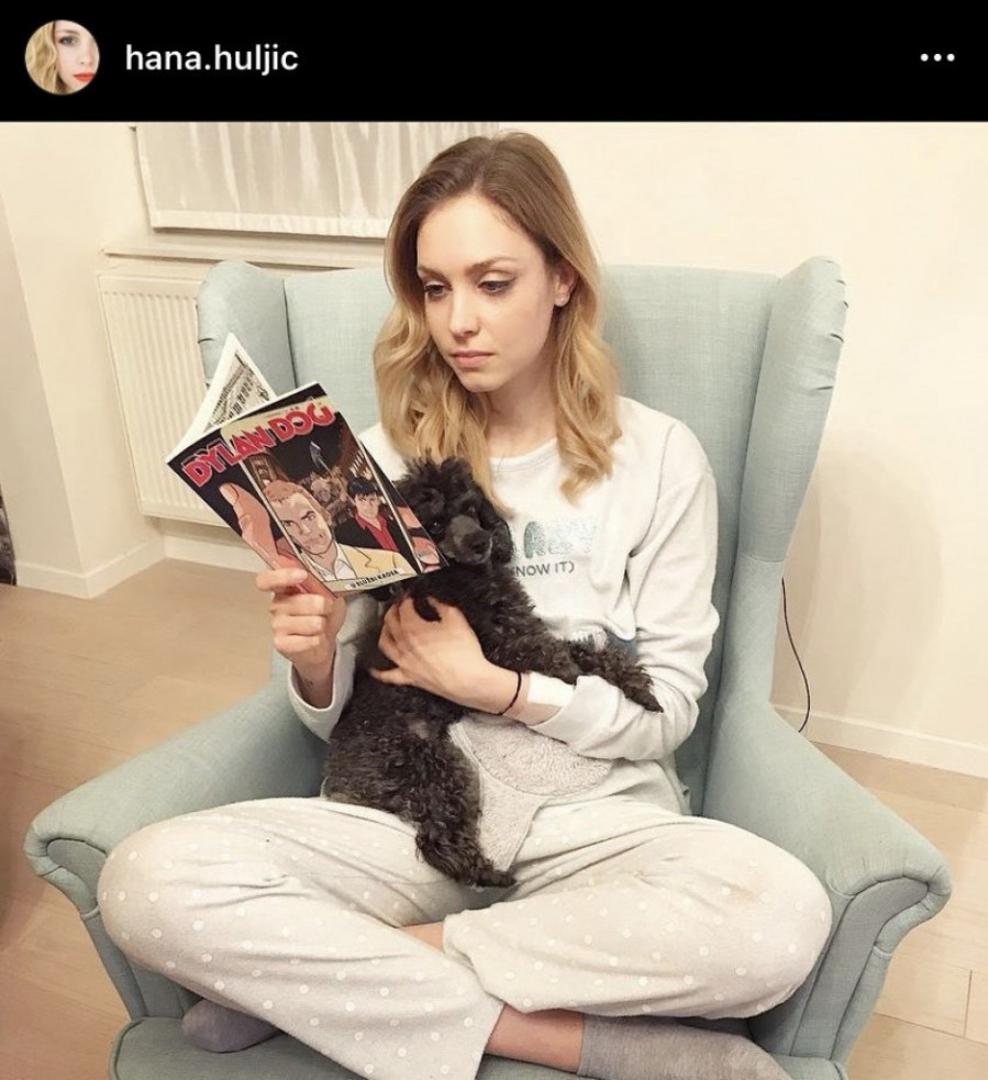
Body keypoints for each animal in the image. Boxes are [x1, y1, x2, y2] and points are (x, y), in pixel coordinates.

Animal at [321, 457, 663, 889]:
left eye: (470, 508)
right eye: (434, 524)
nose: (480, 542)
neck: (460, 576)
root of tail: (342, 780)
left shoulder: (522, 628)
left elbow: (587, 652)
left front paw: (638, 687)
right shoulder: (500, 647)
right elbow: (556, 657)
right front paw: (571, 674)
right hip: (429, 766)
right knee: (437, 840)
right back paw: (490, 876)